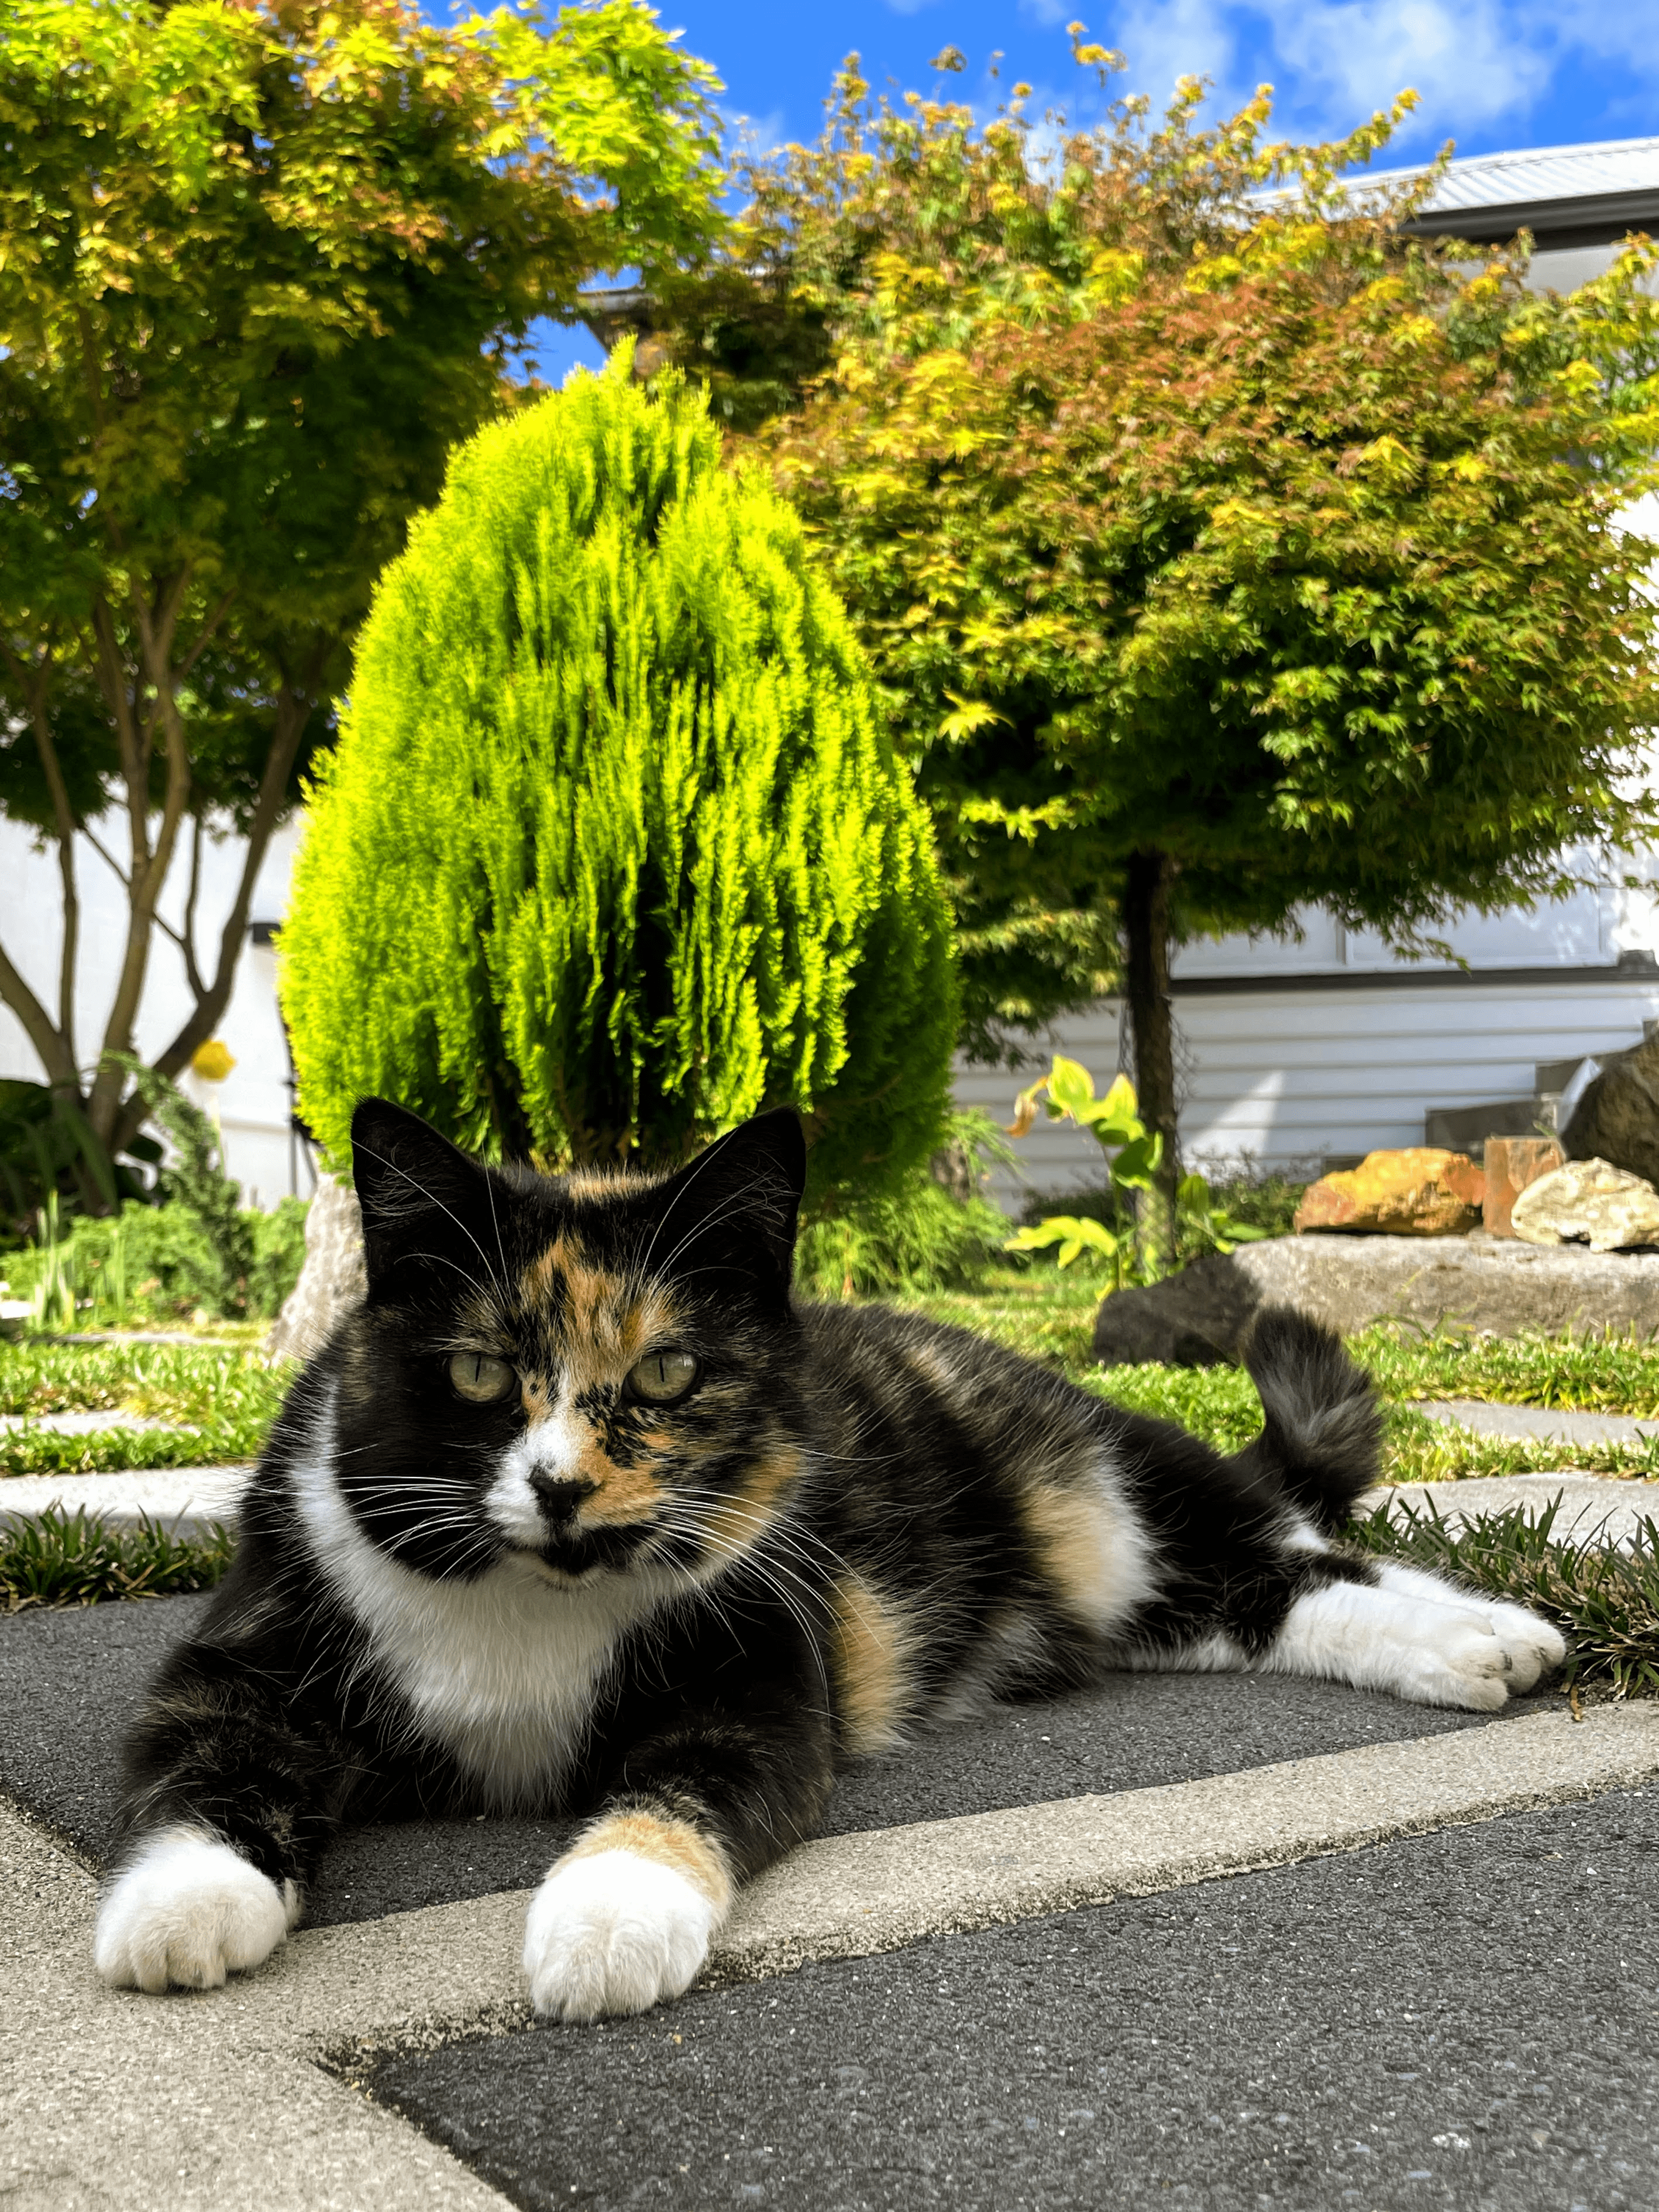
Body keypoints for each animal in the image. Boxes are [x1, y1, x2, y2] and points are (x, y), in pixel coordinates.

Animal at [94, 1097, 1575, 2017]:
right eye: (473, 1370)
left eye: (669, 1372)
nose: (562, 1486)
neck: (522, 1612)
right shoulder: (250, 1636)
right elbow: (202, 1752)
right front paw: (181, 1906)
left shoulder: (755, 1663)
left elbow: (682, 1786)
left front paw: (605, 1919)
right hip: (1132, 1589)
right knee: (1260, 1590)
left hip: (1108, 1482)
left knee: (1288, 1543)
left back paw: (1485, 1632)